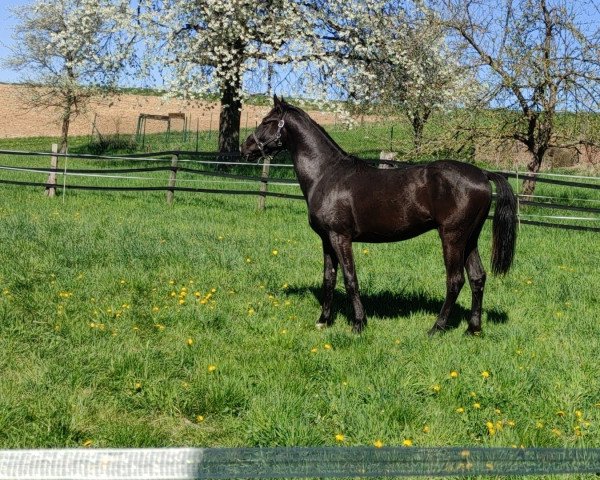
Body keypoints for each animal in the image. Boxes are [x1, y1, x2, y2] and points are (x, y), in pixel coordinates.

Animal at [241, 97, 516, 334]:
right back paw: (473, 329)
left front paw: (359, 323)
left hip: (452, 237)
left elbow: (350, 279)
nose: (246, 148)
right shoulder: (326, 240)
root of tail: (482, 174)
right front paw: (323, 321)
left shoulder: (340, 237)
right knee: (478, 278)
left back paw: (436, 328)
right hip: (470, 239)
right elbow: (329, 279)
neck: (326, 174)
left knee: (455, 280)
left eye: (266, 121)